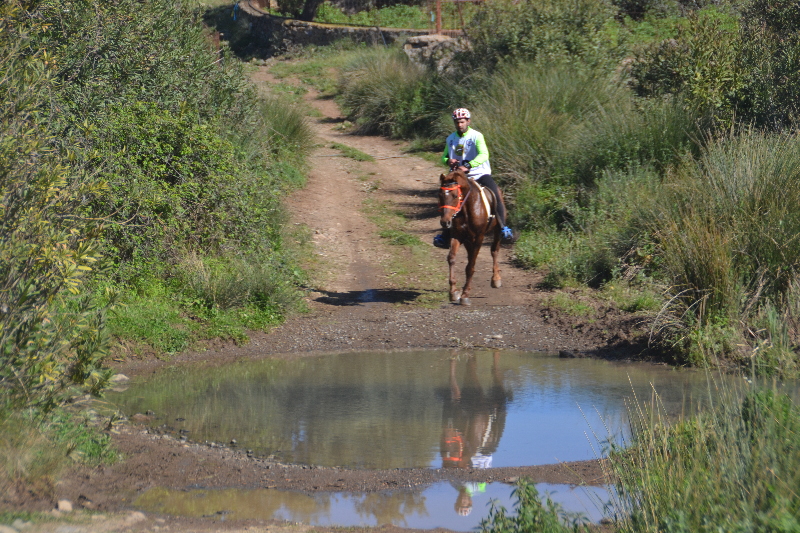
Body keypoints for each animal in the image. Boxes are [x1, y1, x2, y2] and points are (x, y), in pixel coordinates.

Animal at [438, 168, 500, 306]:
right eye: (440, 196)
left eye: (455, 196)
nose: (445, 222)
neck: (467, 209)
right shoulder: (457, 235)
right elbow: (452, 258)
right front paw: (454, 292)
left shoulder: (479, 238)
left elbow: (471, 266)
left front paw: (465, 295)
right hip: (467, 240)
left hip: (497, 230)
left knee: (494, 250)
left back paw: (496, 279)